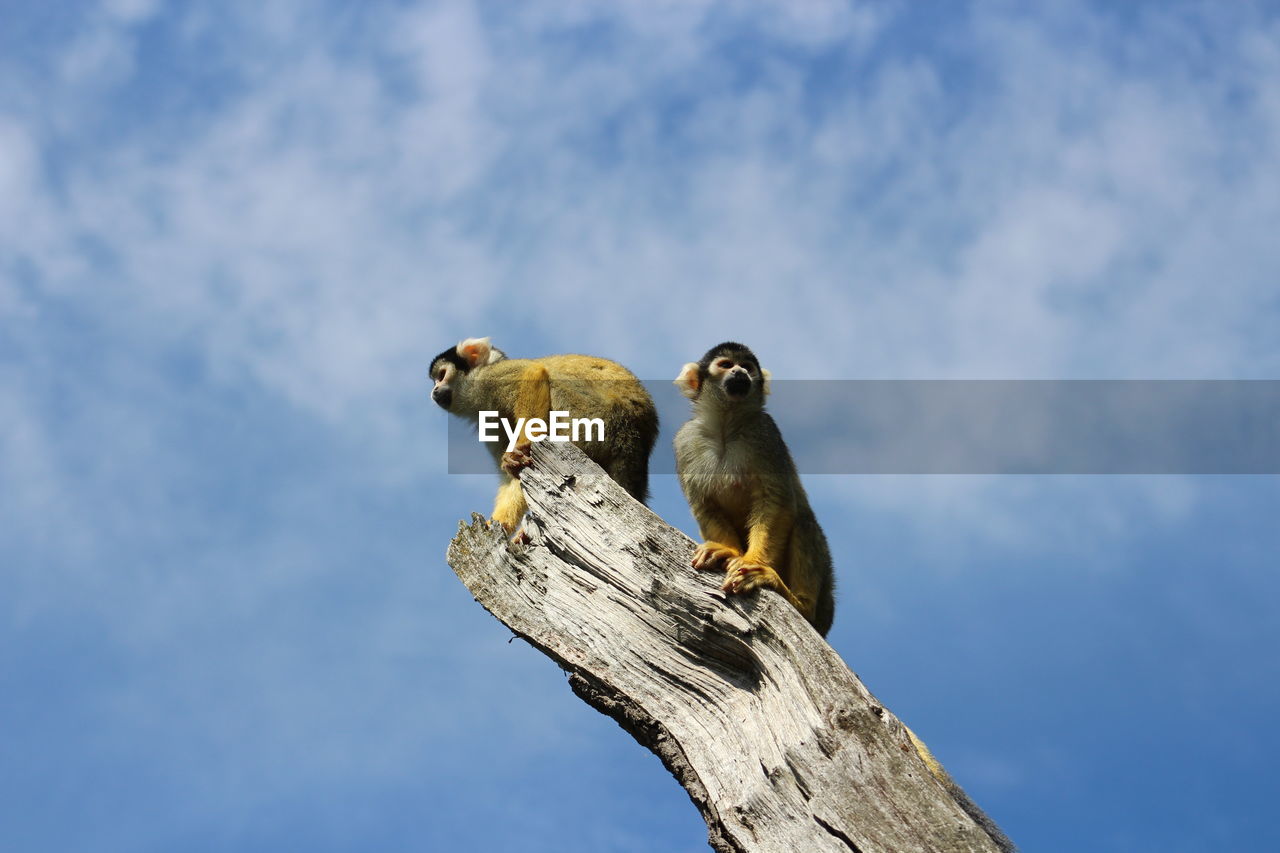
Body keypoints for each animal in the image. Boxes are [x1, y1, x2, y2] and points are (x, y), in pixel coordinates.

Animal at [430, 338, 660, 532]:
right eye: (434, 380)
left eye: (441, 376)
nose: (433, 392)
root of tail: (634, 442)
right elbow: (511, 479)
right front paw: (498, 524)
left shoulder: (488, 377)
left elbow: (531, 373)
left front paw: (523, 446)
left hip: (595, 419)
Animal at [670, 338, 839, 630]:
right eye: (726, 364)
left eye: (747, 366)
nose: (740, 373)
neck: (726, 425)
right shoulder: (685, 440)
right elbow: (704, 504)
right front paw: (727, 551)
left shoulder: (766, 431)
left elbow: (776, 501)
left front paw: (750, 562)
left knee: (804, 521)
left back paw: (799, 604)